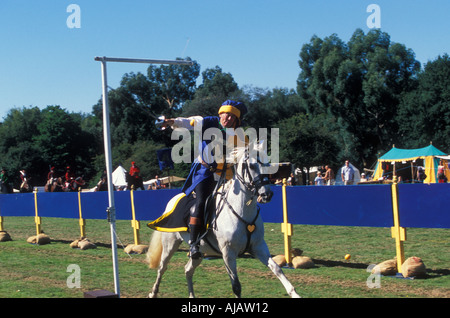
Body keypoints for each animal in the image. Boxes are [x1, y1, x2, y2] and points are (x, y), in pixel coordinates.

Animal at [146, 144, 300, 298]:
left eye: (267, 164)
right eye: (251, 165)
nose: (266, 194)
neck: (241, 211)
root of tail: (173, 200)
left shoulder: (259, 247)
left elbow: (277, 268)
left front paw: (294, 293)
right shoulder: (228, 253)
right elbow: (236, 286)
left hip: (200, 252)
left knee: (188, 270)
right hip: (170, 244)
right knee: (162, 267)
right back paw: (153, 293)